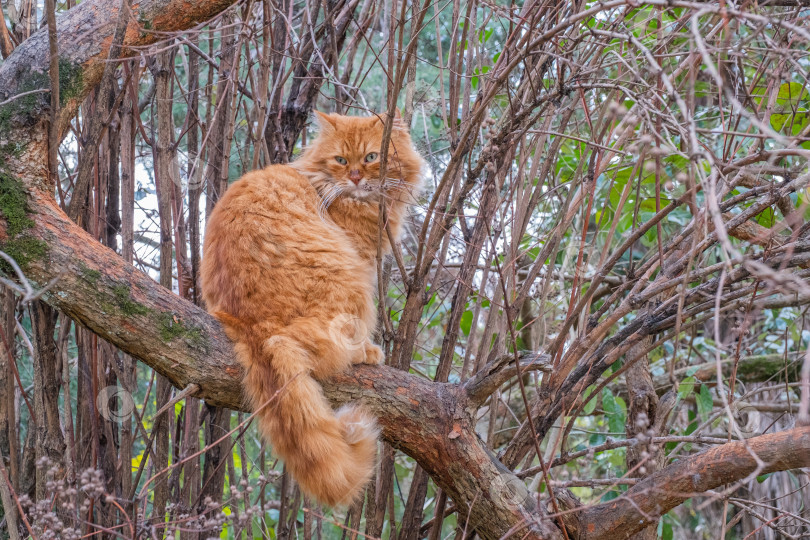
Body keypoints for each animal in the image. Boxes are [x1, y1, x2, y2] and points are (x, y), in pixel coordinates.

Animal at [200, 109, 422, 506]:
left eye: (371, 157)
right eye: (341, 160)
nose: (355, 177)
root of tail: (252, 325)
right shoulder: (363, 262)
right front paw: (369, 348)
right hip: (346, 277)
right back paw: (362, 353)